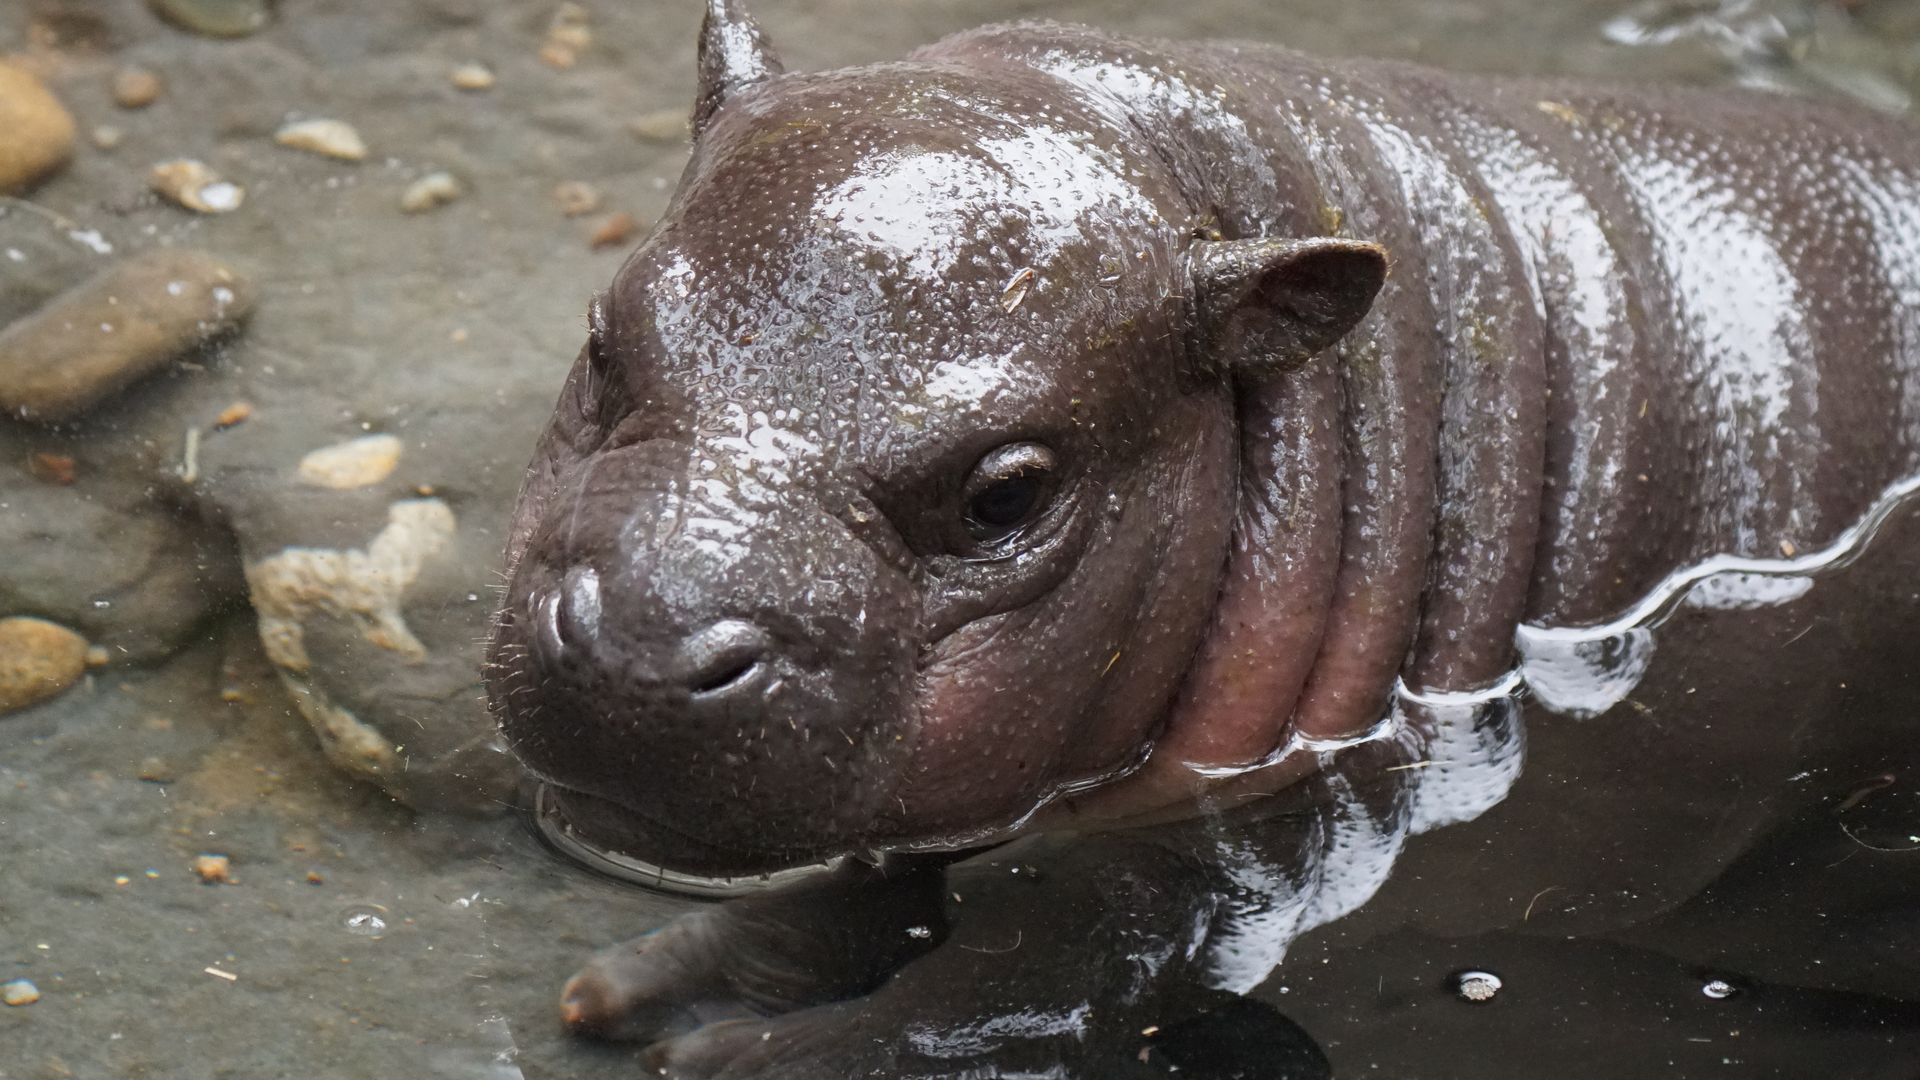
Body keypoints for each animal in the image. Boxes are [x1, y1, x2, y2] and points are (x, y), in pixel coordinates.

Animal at [485, 1, 1920, 1075]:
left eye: (1008, 490)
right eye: (604, 341)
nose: (636, 646)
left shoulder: (1383, 819)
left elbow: (1081, 946)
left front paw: (756, 1053)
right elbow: (905, 871)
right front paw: (675, 981)